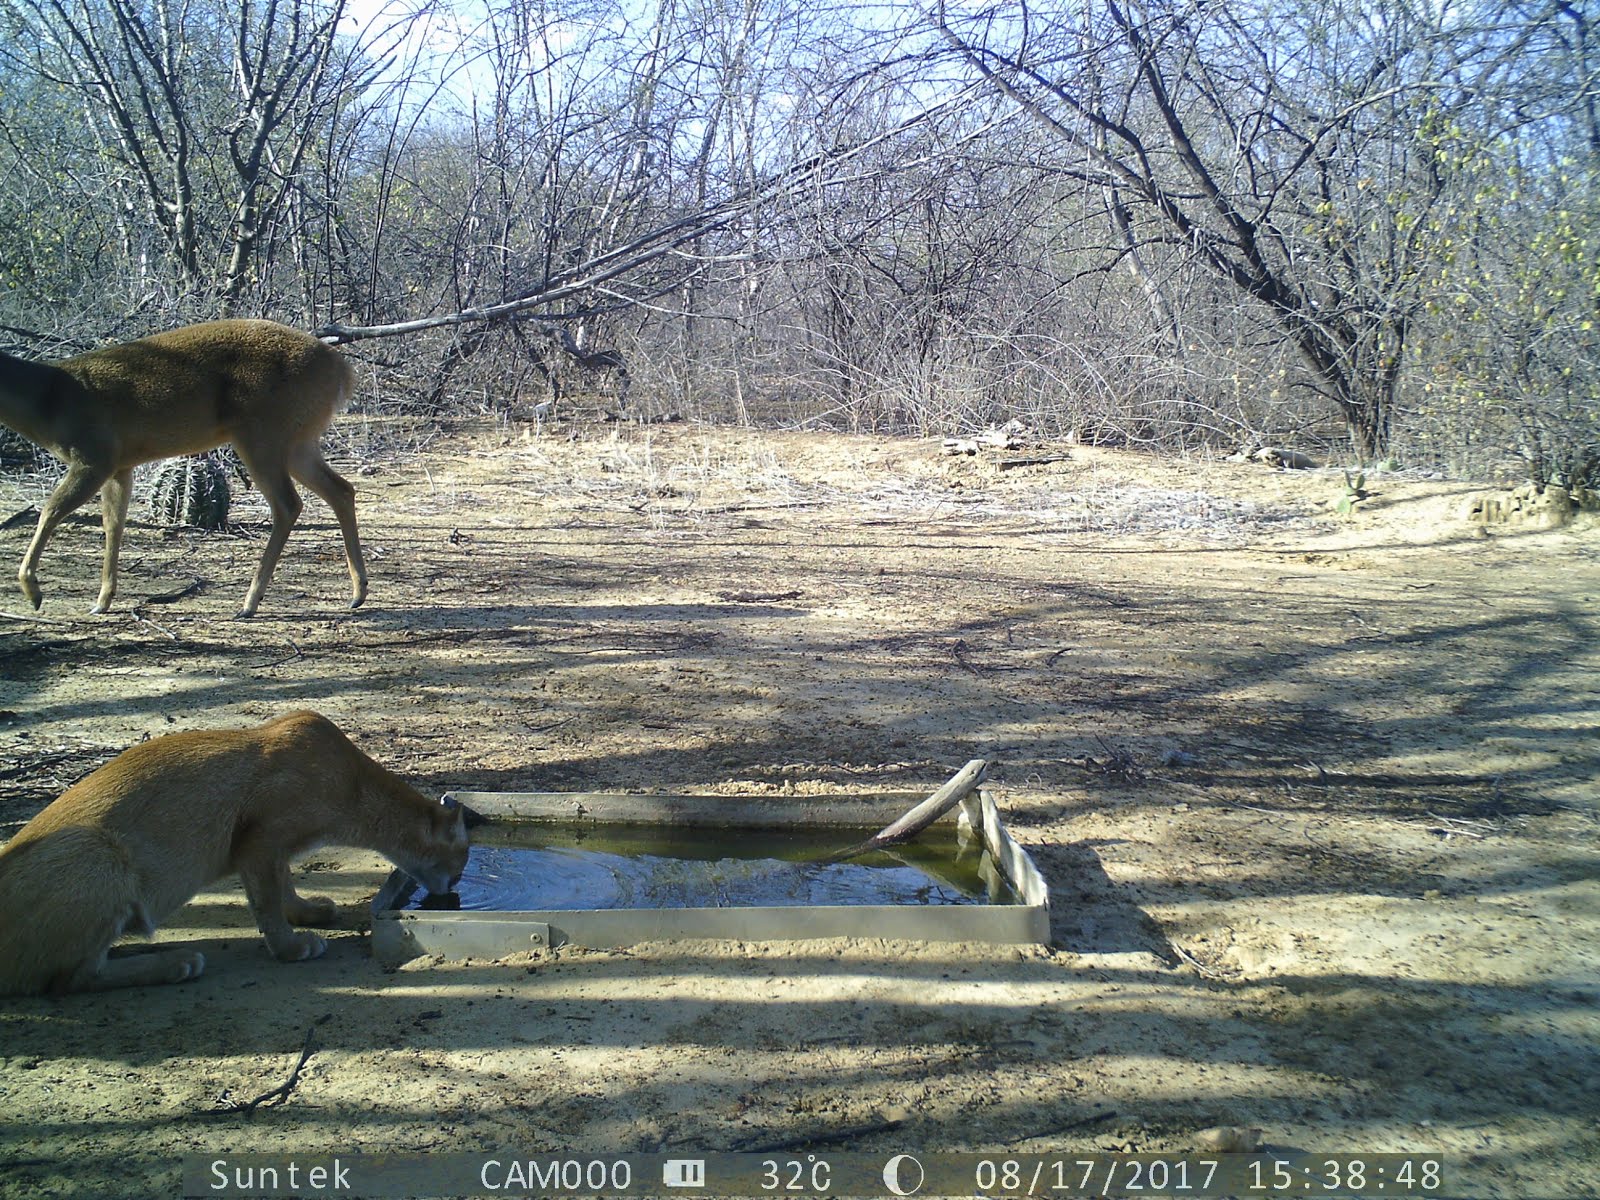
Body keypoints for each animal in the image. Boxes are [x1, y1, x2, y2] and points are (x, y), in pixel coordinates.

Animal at [0, 316, 366, 614]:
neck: (50, 401)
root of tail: (343, 372)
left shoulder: (94, 454)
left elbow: (50, 510)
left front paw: (33, 592)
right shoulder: (120, 465)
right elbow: (113, 524)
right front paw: (102, 601)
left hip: (263, 433)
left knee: (288, 504)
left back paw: (249, 603)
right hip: (298, 440)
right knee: (341, 489)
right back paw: (357, 593)